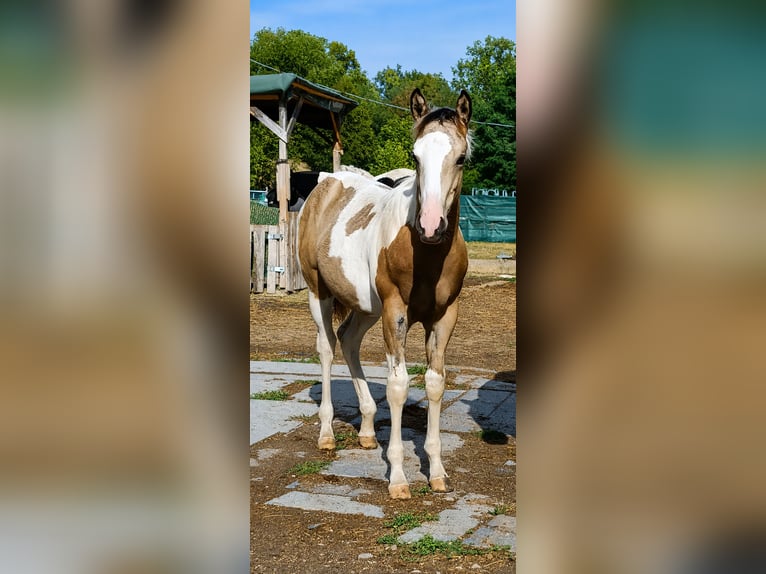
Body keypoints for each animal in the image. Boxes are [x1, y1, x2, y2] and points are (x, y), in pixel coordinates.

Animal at [297, 88, 471, 499]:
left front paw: (437, 472)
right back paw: (326, 434)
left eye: (461, 157)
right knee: (327, 348)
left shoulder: (445, 316)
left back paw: (365, 430)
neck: (424, 253)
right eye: (415, 155)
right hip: (319, 292)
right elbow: (397, 385)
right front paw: (398, 478)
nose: (430, 225)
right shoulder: (395, 311)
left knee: (349, 341)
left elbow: (435, 383)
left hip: (366, 308)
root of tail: (327, 181)